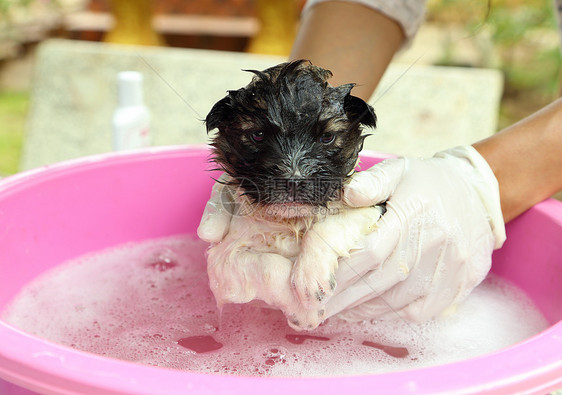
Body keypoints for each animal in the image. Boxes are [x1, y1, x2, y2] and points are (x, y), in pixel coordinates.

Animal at [201, 59, 380, 332]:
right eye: (258, 135)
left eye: (327, 137)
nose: (294, 181)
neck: (289, 222)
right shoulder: (222, 263)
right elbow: (270, 266)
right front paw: (303, 311)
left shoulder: (374, 207)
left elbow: (331, 224)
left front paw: (311, 278)